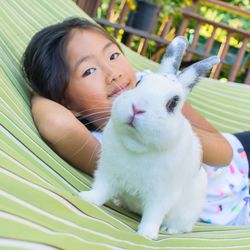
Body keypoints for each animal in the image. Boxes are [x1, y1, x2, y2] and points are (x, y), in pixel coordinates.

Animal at [79, 36, 220, 239]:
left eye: (173, 103)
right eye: (139, 83)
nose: (137, 108)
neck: (137, 147)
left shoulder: (161, 195)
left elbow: (153, 215)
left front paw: (147, 235)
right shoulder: (107, 172)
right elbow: (100, 190)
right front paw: (87, 198)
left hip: (186, 214)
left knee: (182, 226)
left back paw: (170, 229)